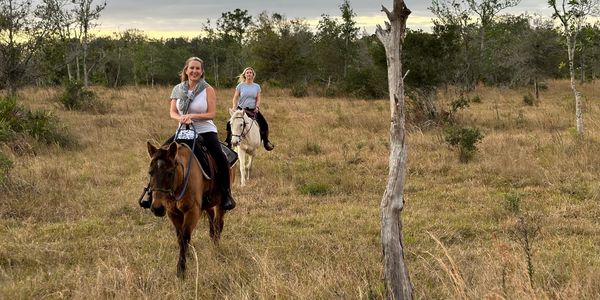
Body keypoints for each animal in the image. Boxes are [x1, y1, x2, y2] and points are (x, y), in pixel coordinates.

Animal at [146, 141, 229, 278]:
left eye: (170, 173)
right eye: (150, 172)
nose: (157, 208)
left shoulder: (192, 211)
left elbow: (185, 237)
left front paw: (181, 270)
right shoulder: (173, 213)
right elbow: (180, 237)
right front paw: (187, 256)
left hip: (220, 204)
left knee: (218, 223)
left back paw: (216, 247)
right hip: (208, 204)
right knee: (212, 218)